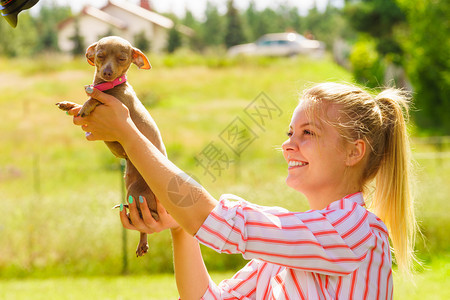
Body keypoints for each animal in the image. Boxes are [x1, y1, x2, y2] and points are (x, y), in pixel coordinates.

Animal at [57, 35, 166, 255]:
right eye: (100, 56)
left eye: (122, 59)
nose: (107, 72)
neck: (107, 87)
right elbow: (79, 104)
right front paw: (69, 105)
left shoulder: (118, 102)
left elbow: (94, 100)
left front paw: (87, 104)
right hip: (131, 188)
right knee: (144, 225)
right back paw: (142, 243)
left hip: (137, 193)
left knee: (151, 217)